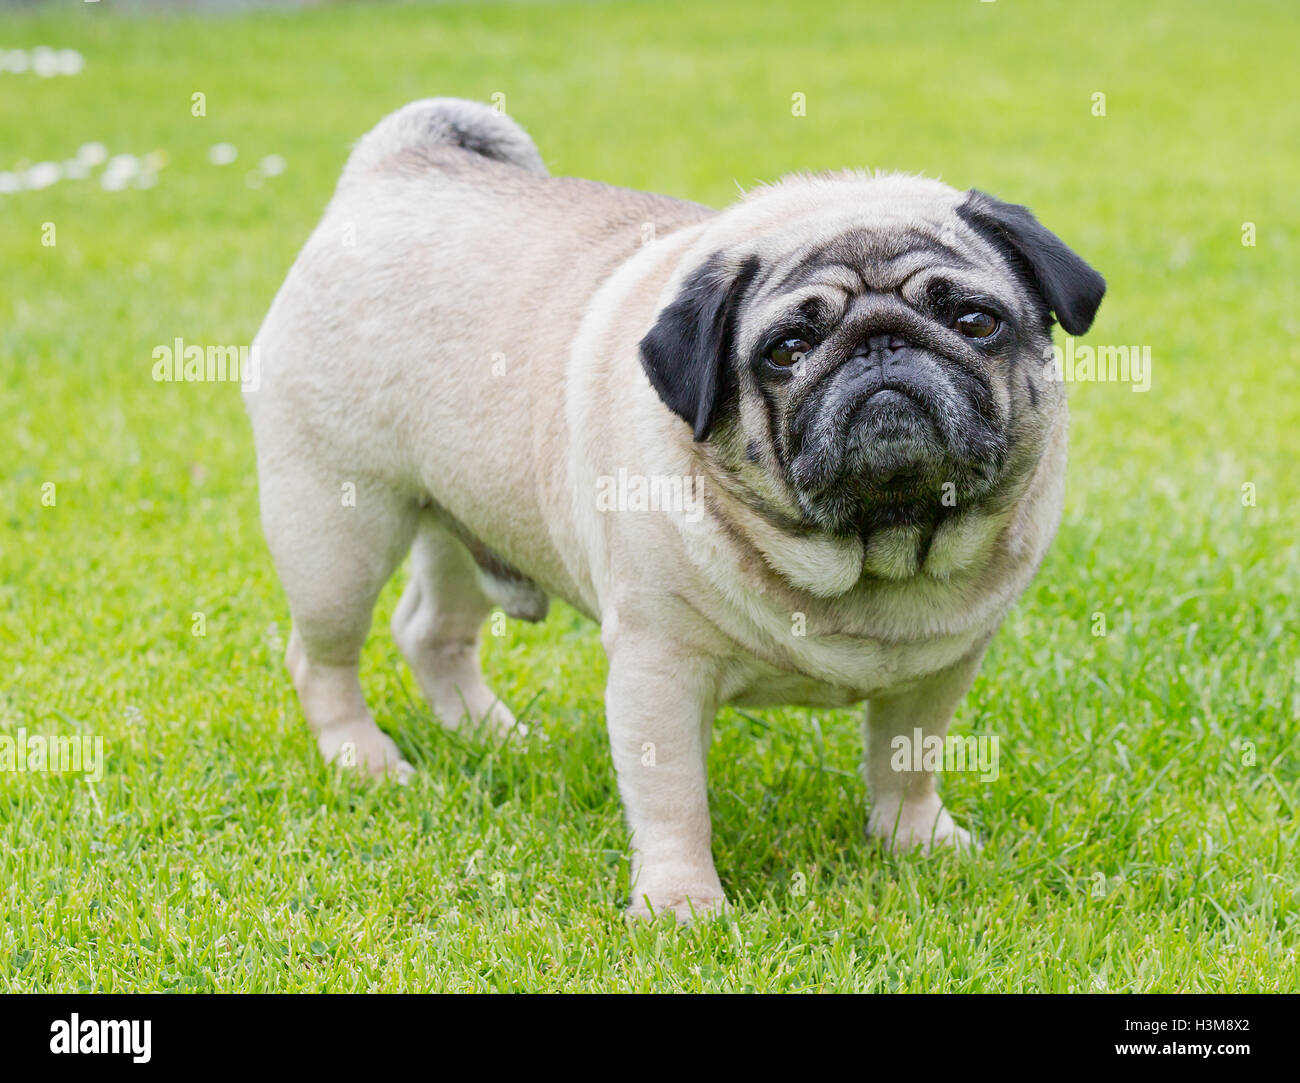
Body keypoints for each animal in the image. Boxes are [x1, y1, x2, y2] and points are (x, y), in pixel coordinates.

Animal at [244, 97, 1097, 915]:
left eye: (975, 320)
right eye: (786, 350)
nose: (881, 342)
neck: (872, 550)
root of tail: (394, 167)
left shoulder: (939, 669)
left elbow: (906, 761)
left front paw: (917, 843)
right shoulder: (660, 669)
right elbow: (674, 798)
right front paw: (682, 902)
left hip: (467, 514)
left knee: (432, 632)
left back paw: (495, 737)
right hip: (336, 531)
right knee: (323, 658)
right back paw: (364, 759)